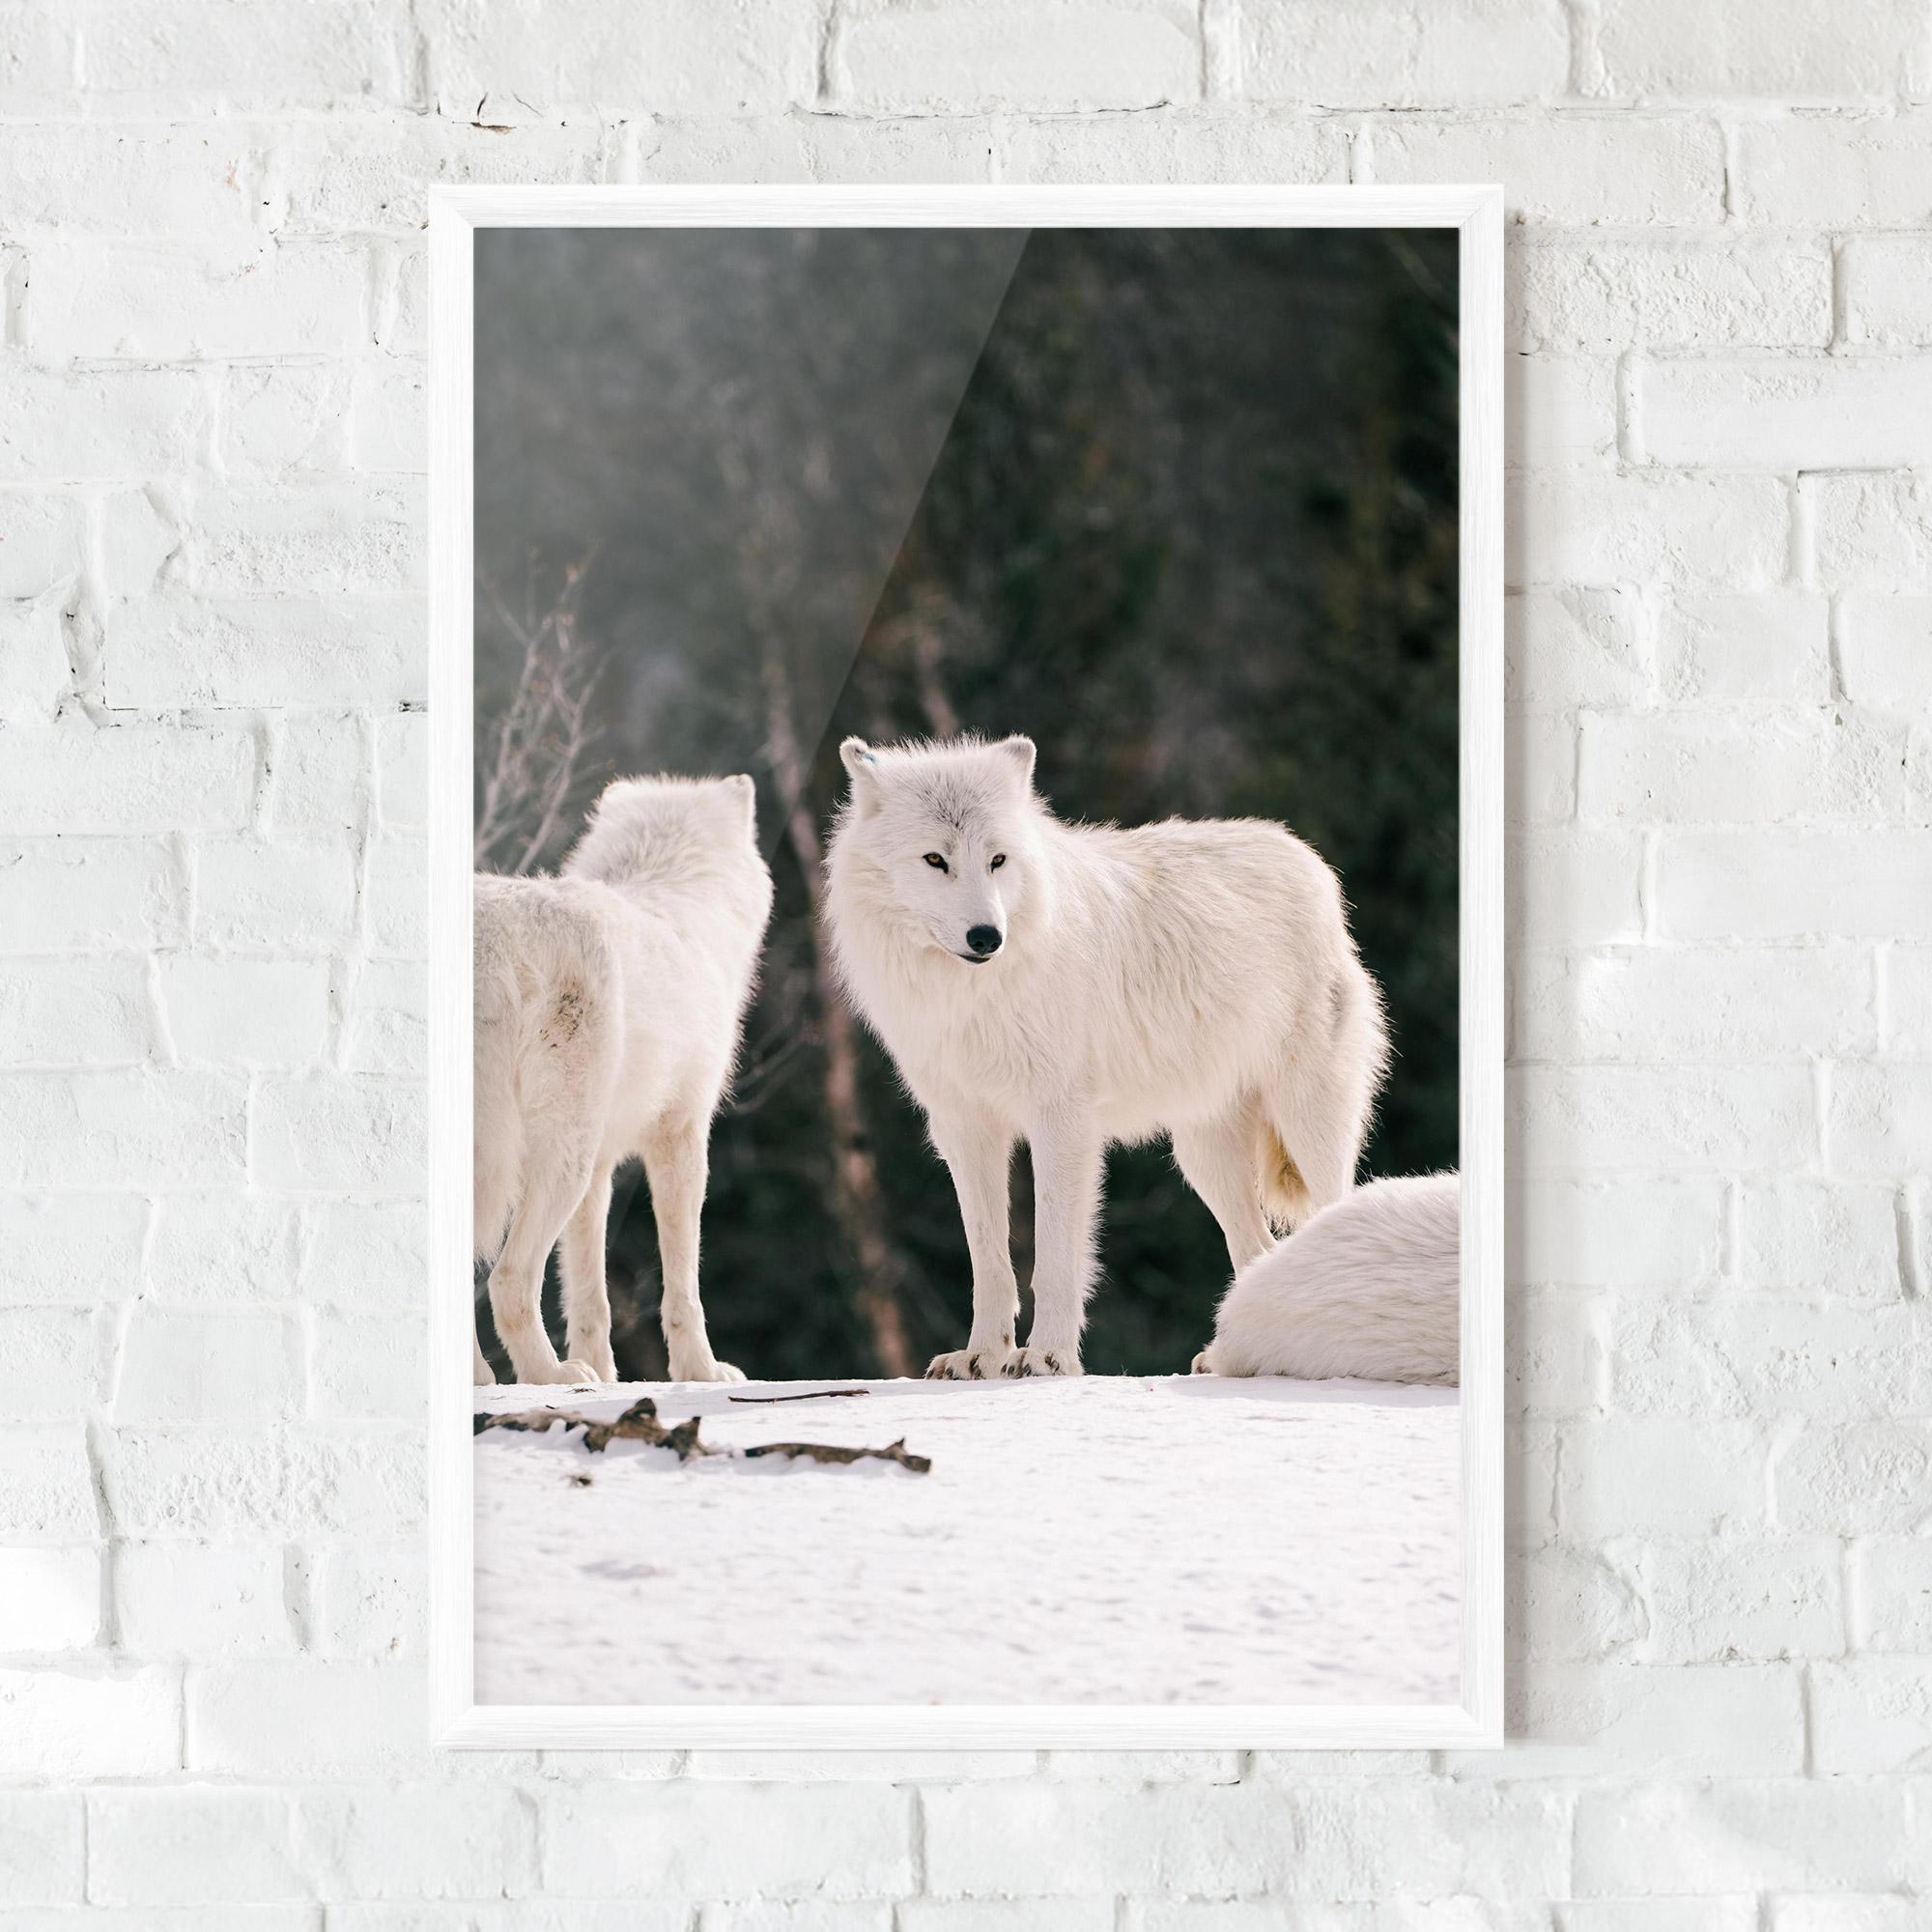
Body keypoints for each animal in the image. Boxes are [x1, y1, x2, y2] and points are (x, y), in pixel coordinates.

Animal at [472, 774, 772, 1387]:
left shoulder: (603, 1166)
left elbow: (589, 1293)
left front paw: (607, 1372)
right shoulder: (682, 1136)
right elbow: (683, 1282)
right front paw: (700, 1371)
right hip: (560, 1158)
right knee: (508, 1281)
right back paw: (553, 1376)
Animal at [823, 734, 1389, 1379]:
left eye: (997, 860)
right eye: (935, 860)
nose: (987, 937)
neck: (974, 996)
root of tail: (1306, 857)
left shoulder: (1062, 1121)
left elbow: (1054, 1257)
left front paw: (1046, 1356)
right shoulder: (965, 1128)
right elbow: (988, 1261)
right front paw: (982, 1357)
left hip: (1308, 1127)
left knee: (1331, 1214)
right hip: (1202, 1158)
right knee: (1258, 1250)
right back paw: (1230, 1360)